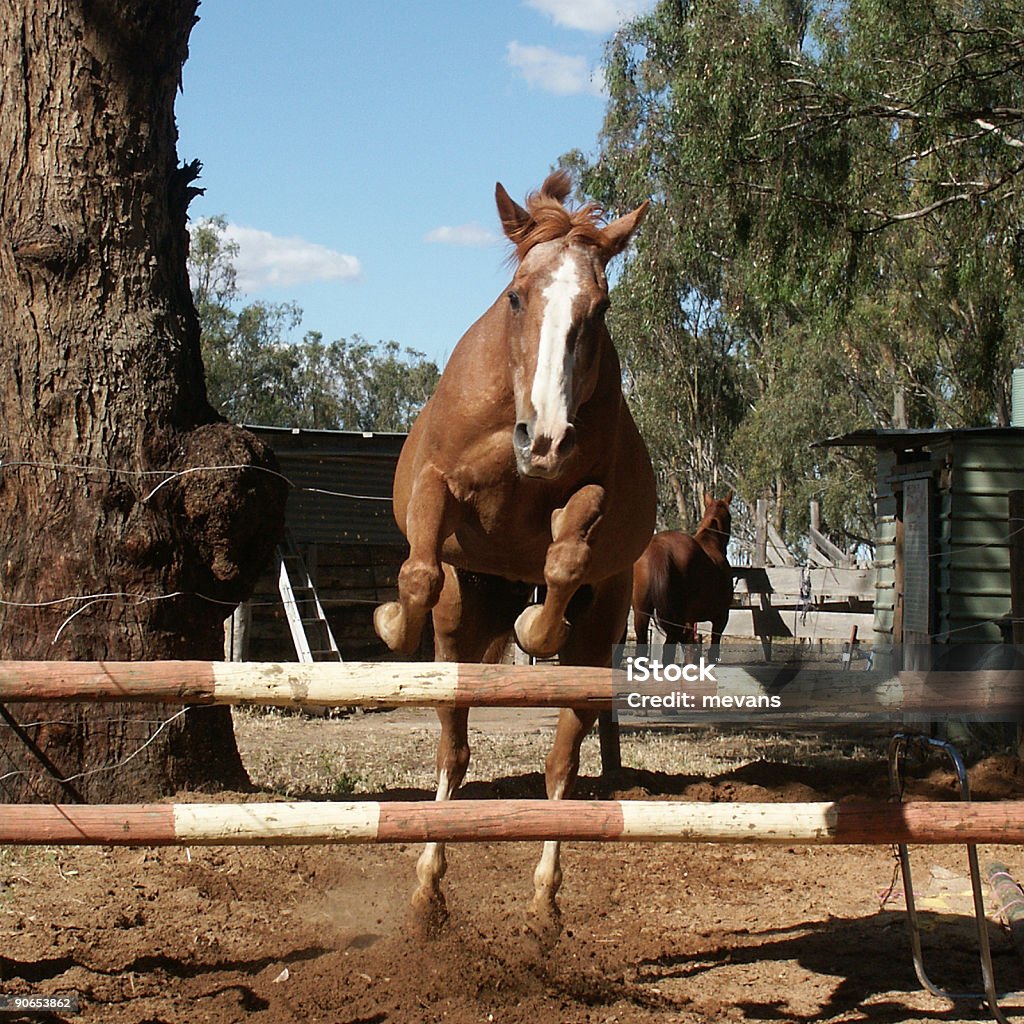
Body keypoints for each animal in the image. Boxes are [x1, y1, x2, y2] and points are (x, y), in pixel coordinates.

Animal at [372, 172, 651, 933]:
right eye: (518, 296)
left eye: (600, 307)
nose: (545, 440)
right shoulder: (437, 487)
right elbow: (417, 570)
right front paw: (390, 623)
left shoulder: (585, 497)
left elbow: (566, 554)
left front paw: (536, 625)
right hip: (462, 622)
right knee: (454, 751)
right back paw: (429, 889)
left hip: (598, 638)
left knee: (560, 765)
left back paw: (542, 903)